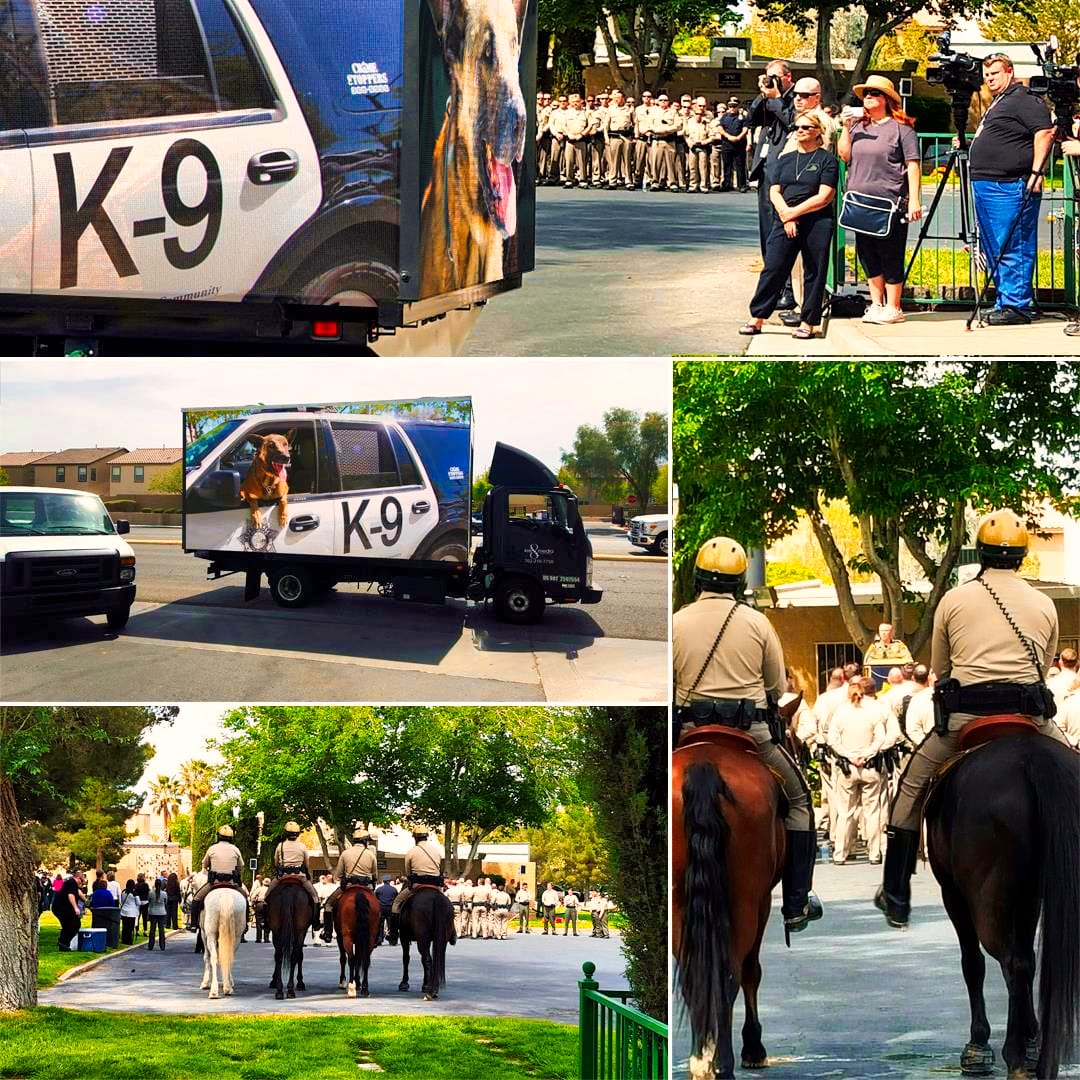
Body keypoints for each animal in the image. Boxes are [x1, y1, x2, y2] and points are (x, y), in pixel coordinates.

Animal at [673, 725, 786, 1080]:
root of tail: (704, 765)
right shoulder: (763, 902)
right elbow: (751, 971)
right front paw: (753, 1046)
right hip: (744, 900)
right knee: (730, 974)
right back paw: (722, 1063)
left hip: (681, 902)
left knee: (694, 976)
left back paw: (702, 1059)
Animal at [920, 725, 1080, 1080]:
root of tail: (1032, 758)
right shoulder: (1030, 895)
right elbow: (1029, 959)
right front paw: (1033, 1040)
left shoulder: (952, 892)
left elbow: (973, 963)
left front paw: (978, 1045)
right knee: (1021, 962)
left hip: (985, 897)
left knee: (1009, 962)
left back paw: (1015, 1056)